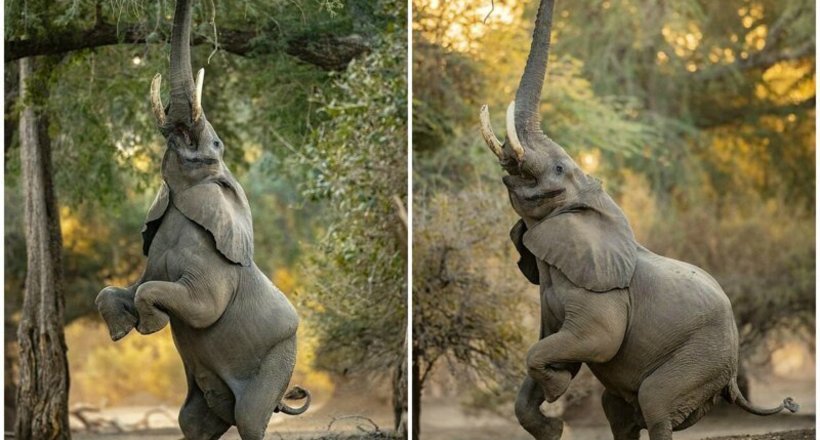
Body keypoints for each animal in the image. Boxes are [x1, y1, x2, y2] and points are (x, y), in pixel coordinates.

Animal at [93, 1, 310, 438]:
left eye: (216, 144)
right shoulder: (152, 258)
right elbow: (121, 289)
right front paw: (122, 329)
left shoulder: (214, 272)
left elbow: (197, 306)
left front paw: (149, 325)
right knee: (192, 421)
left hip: (277, 361)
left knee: (249, 419)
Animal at [478, 0, 796, 440]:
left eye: (558, 168)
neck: (594, 200)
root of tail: (732, 376)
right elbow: (544, 358)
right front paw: (552, 425)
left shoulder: (603, 295)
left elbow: (593, 340)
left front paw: (556, 387)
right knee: (617, 410)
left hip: (700, 357)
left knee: (655, 401)